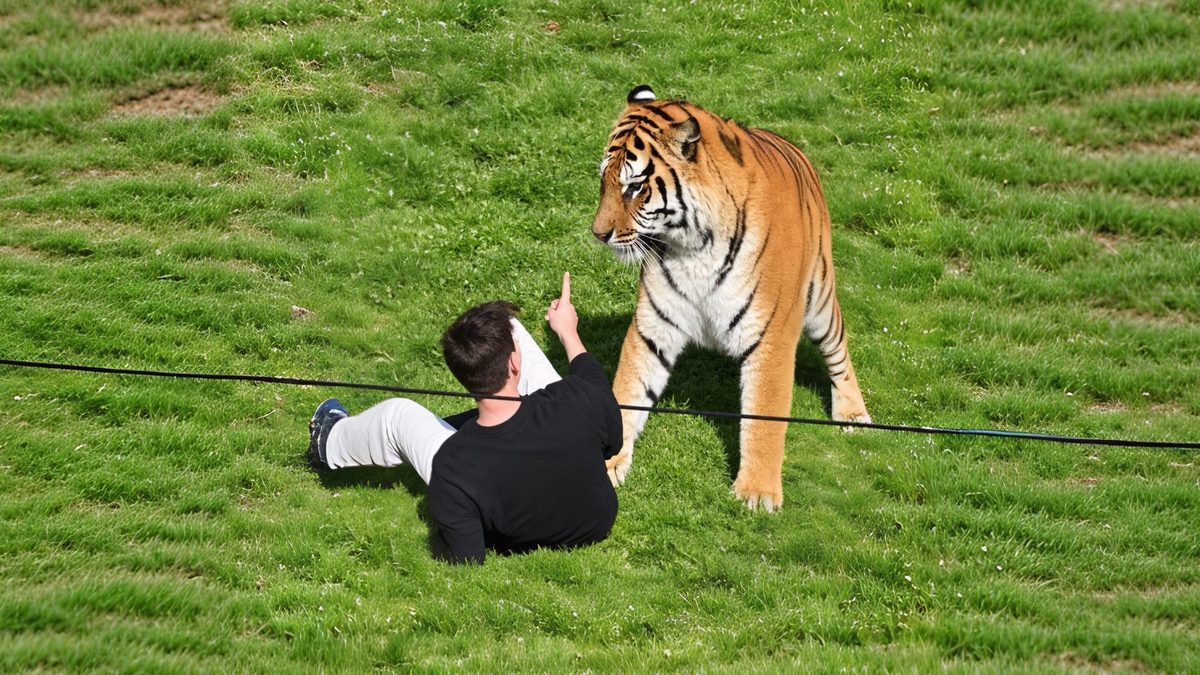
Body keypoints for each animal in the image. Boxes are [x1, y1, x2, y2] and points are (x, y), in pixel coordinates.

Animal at [590, 85, 871, 512]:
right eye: (604, 181)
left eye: (635, 187)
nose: (598, 233)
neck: (692, 246)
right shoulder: (653, 326)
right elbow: (629, 392)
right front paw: (606, 463)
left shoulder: (771, 335)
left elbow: (764, 414)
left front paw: (757, 492)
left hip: (820, 298)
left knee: (838, 350)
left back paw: (853, 414)